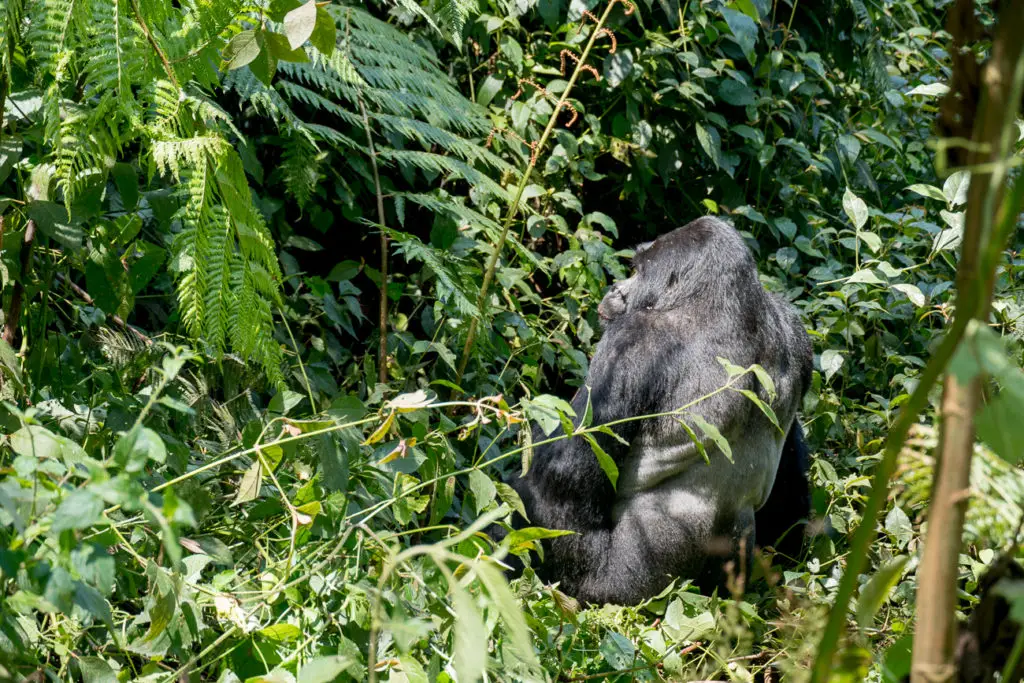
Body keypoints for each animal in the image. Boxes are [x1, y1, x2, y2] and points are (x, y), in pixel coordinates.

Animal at [507, 218, 811, 602]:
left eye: (637, 271)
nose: (616, 289)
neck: (724, 302)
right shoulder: (796, 331)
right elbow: (791, 463)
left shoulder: (633, 338)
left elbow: (561, 475)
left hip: (625, 589)